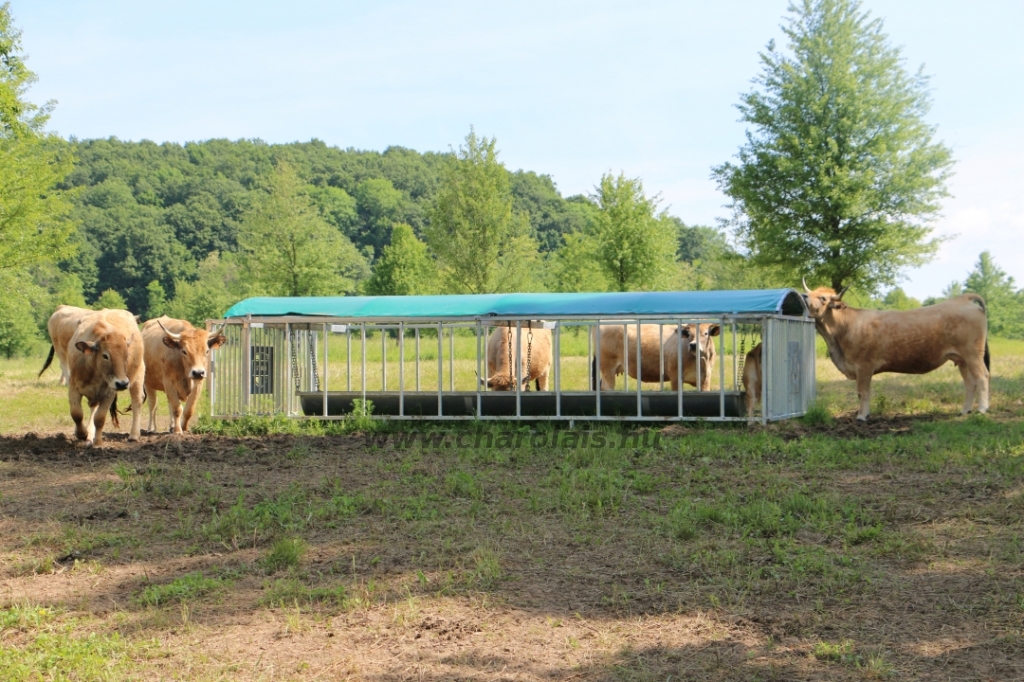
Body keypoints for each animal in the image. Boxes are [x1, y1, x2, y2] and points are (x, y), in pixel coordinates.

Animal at [48, 307, 145, 446]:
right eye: (105, 356)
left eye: (126, 355)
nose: (122, 383)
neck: (94, 371)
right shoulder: (73, 387)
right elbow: (76, 413)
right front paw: (82, 434)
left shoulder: (109, 393)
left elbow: (100, 418)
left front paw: (98, 442)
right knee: (93, 408)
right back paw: (89, 434)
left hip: (138, 375)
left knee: (137, 401)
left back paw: (134, 435)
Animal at [802, 278, 987, 419]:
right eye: (810, 294)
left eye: (823, 298)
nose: (804, 296)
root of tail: (963, 299)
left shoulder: (864, 365)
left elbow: (863, 392)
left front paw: (862, 416)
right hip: (961, 359)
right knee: (970, 382)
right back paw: (964, 411)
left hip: (973, 354)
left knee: (982, 377)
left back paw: (982, 409)